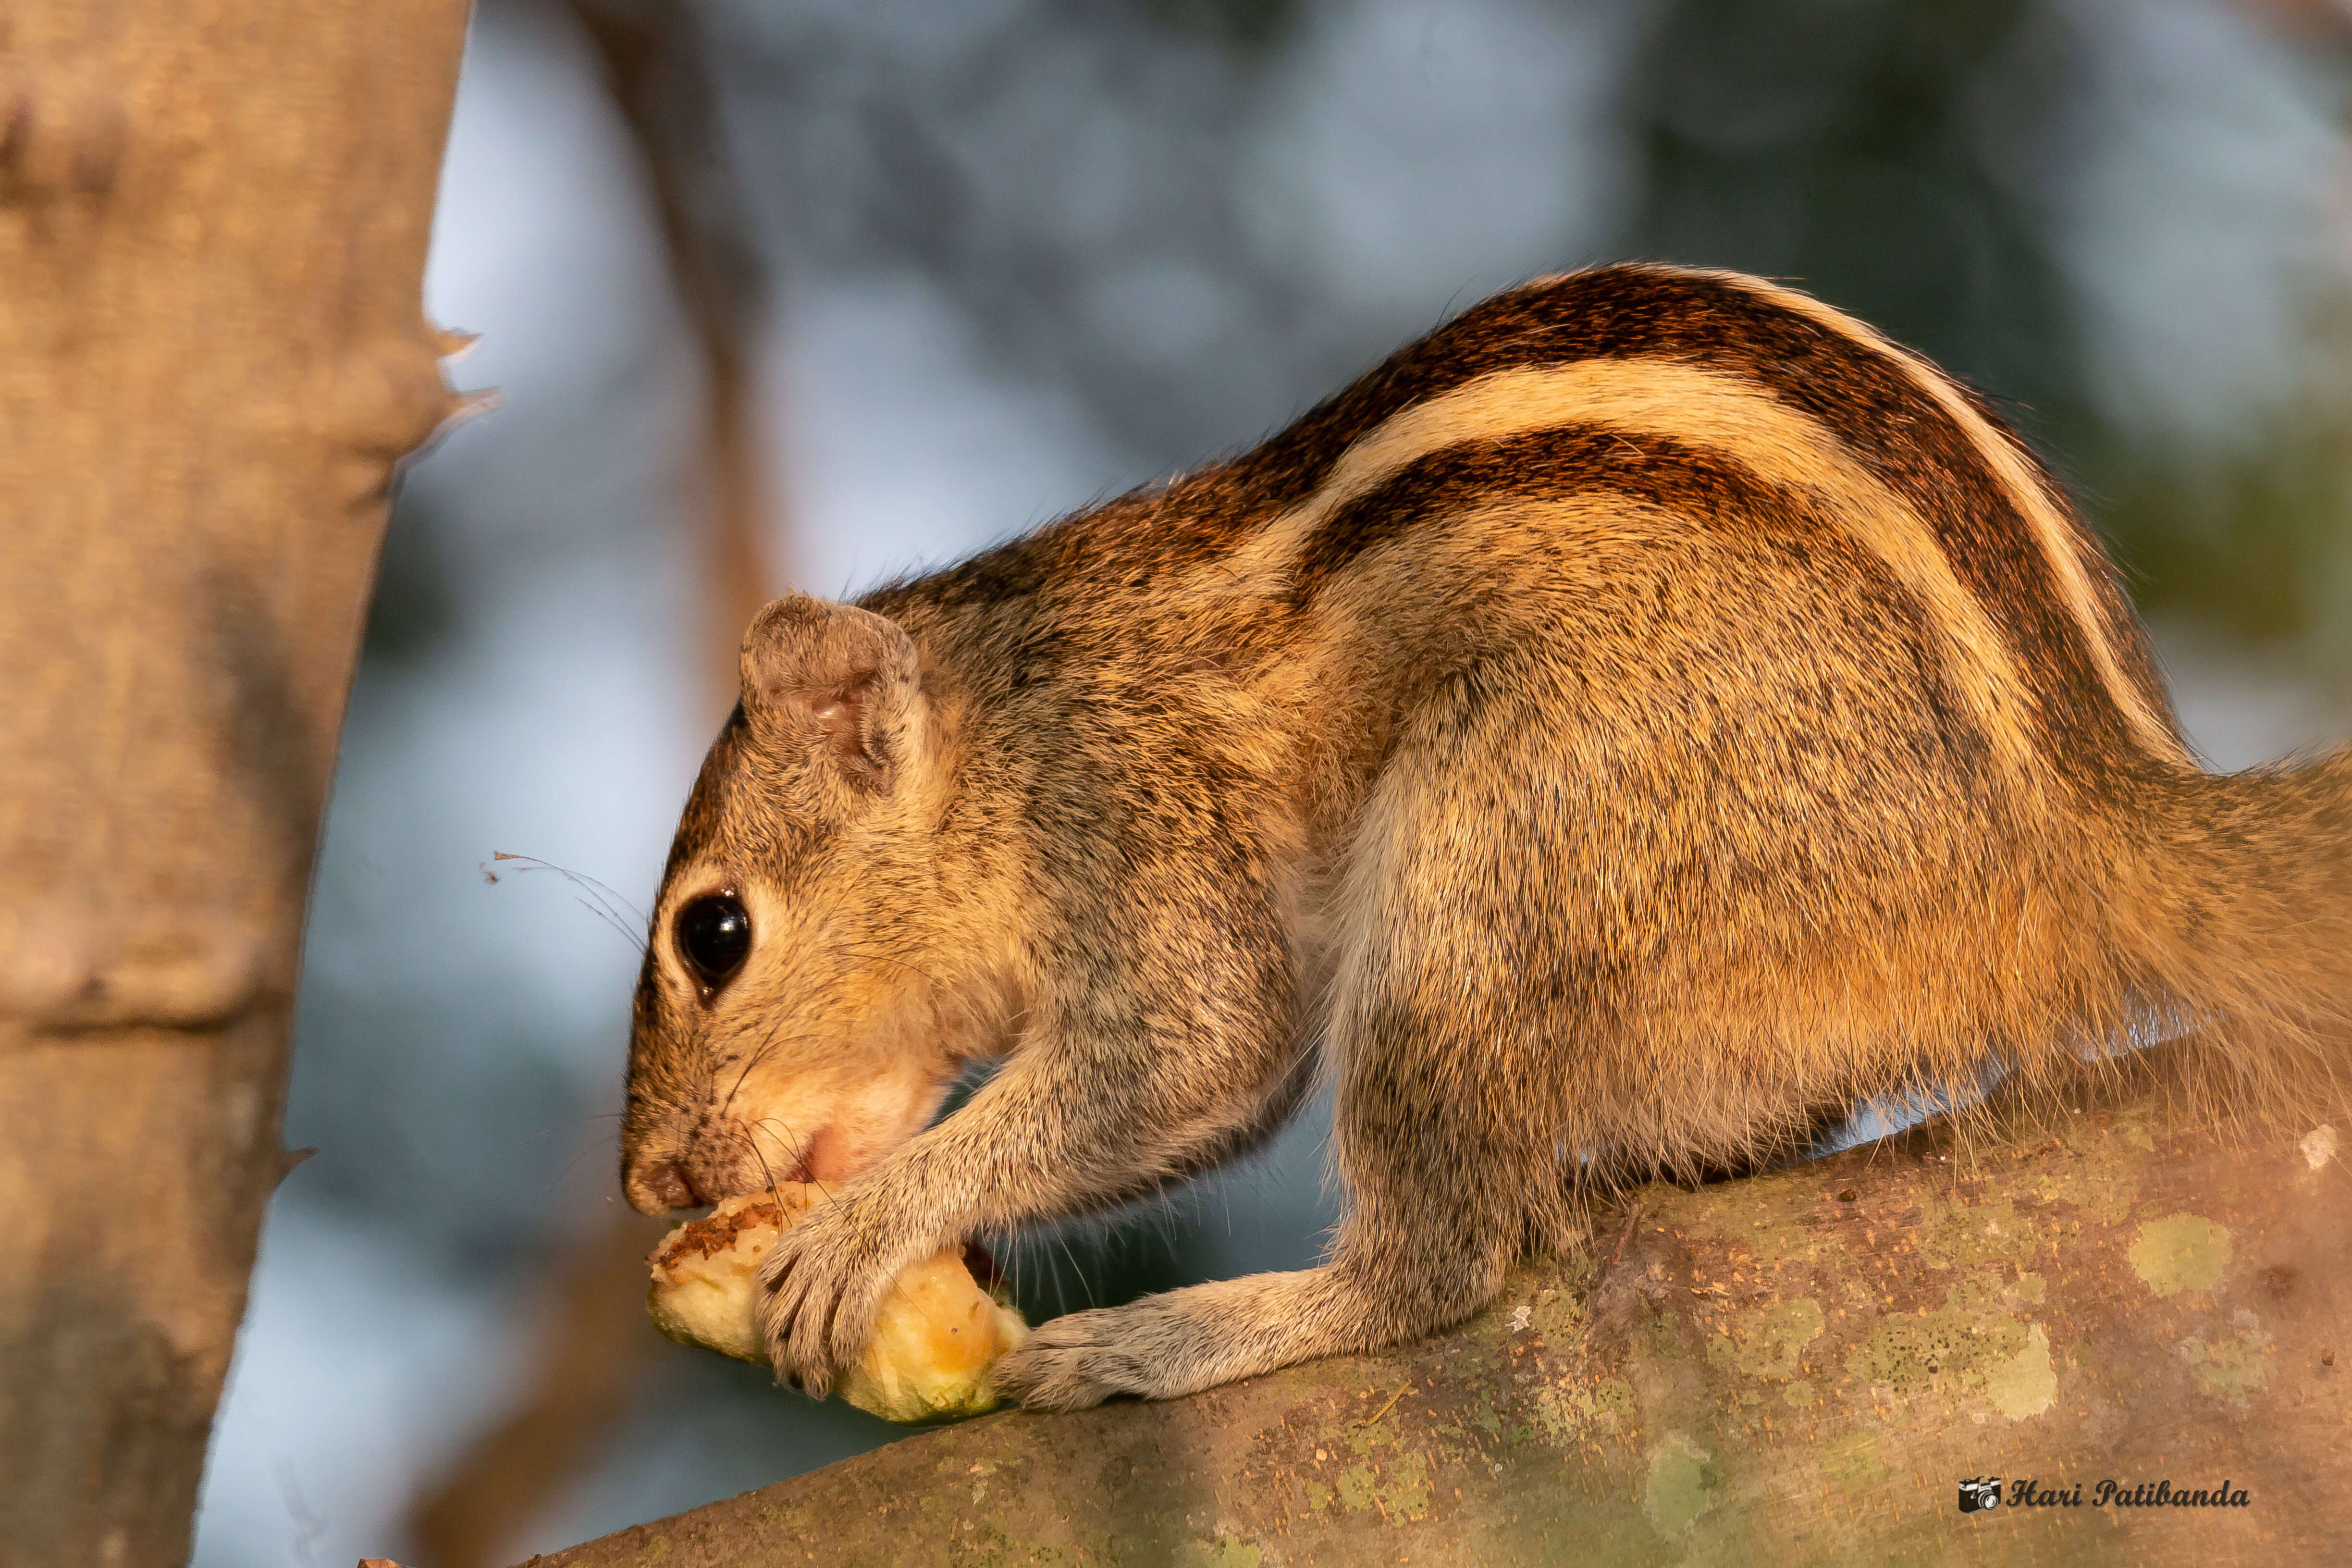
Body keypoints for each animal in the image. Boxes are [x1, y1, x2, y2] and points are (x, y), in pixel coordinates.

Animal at [611, 263, 2352, 1420]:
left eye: (715, 933)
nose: (650, 1181)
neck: (1004, 722)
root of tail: (2083, 812)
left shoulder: (1126, 814)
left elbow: (1192, 1049)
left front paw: (870, 1223)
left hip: (1497, 850)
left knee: (1438, 1264)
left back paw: (1200, 1330)